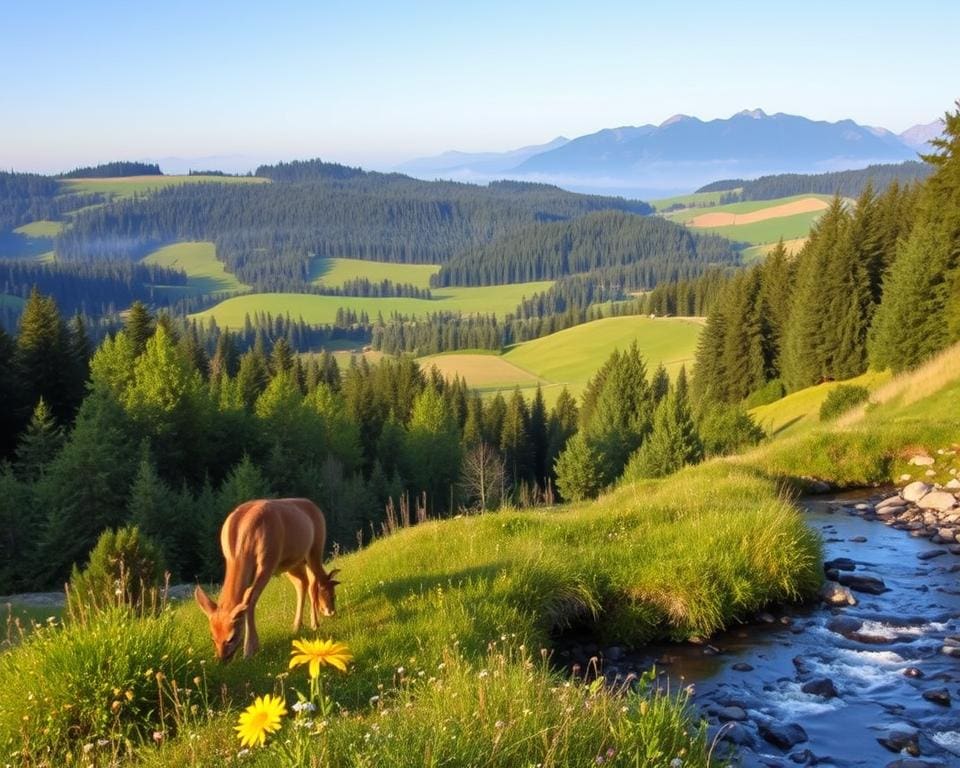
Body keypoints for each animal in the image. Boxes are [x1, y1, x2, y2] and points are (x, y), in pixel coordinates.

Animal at [193, 498, 340, 660]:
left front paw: (250, 649)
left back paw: (314, 623)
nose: (222, 658)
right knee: (303, 583)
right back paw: (297, 625)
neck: (241, 548)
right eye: (213, 637)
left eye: (231, 637)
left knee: (314, 582)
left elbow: (250, 599)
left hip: (314, 549)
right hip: (291, 562)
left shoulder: (267, 563)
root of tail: (314, 505)